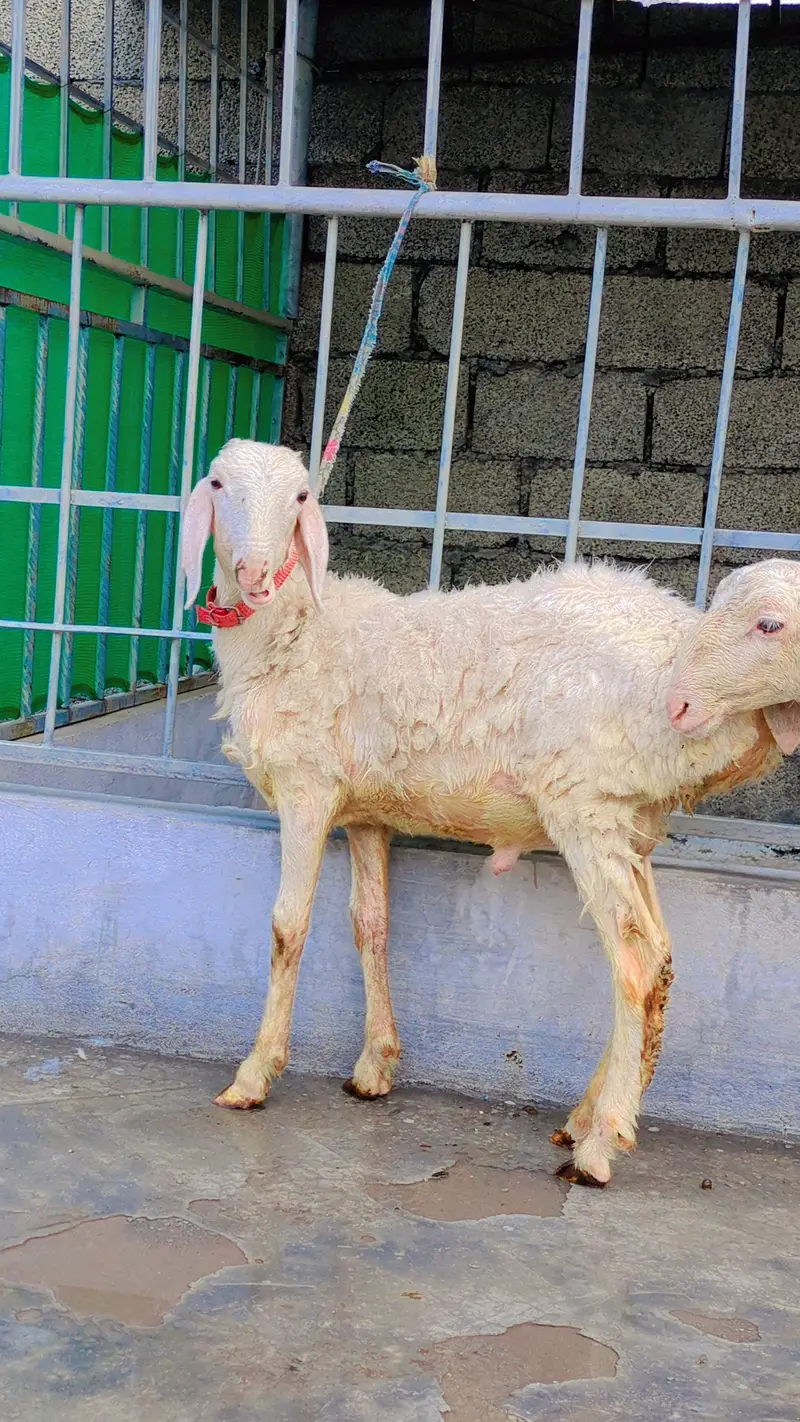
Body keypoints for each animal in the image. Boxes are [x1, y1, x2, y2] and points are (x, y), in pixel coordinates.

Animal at [180, 438, 800, 1187]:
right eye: (218, 485)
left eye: (302, 497)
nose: (254, 572)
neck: (296, 632)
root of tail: (679, 662)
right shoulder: (365, 812)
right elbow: (371, 925)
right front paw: (375, 1066)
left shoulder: (307, 789)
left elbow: (286, 929)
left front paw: (254, 1075)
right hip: (629, 819)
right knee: (662, 960)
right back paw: (586, 1118)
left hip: (583, 802)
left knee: (635, 960)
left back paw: (600, 1145)